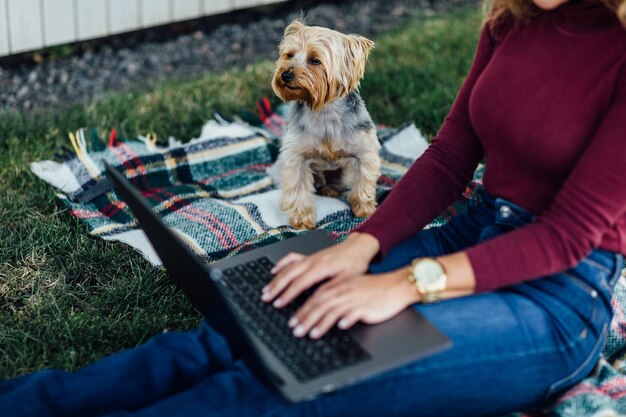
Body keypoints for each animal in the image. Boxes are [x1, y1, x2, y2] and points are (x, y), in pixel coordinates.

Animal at [270, 20, 378, 231]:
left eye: (314, 60)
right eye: (289, 55)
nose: (285, 74)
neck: (324, 110)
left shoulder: (364, 152)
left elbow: (363, 182)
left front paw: (364, 210)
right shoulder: (295, 157)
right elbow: (297, 188)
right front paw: (301, 220)